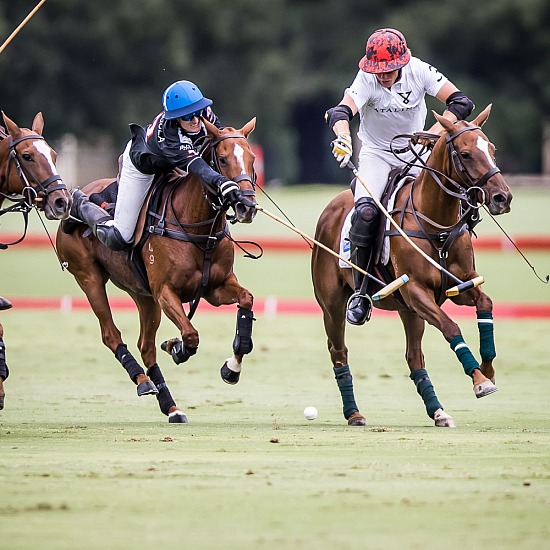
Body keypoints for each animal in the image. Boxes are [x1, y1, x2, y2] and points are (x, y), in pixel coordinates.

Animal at [57, 118, 260, 424]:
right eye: (223, 160)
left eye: (252, 158)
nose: (246, 206)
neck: (198, 228)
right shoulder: (166, 291)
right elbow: (190, 335)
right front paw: (176, 347)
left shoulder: (216, 287)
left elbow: (246, 301)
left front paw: (230, 369)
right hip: (89, 277)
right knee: (111, 334)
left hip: (143, 295)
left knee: (145, 345)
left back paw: (171, 407)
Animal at [312, 105, 516, 430]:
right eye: (466, 153)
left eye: (492, 149)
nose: (502, 197)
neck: (437, 224)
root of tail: (331, 208)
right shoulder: (416, 291)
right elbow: (451, 326)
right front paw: (480, 380)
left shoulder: (460, 284)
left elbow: (485, 303)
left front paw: (488, 369)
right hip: (332, 305)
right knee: (339, 352)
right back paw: (354, 413)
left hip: (408, 311)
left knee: (414, 356)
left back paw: (438, 411)